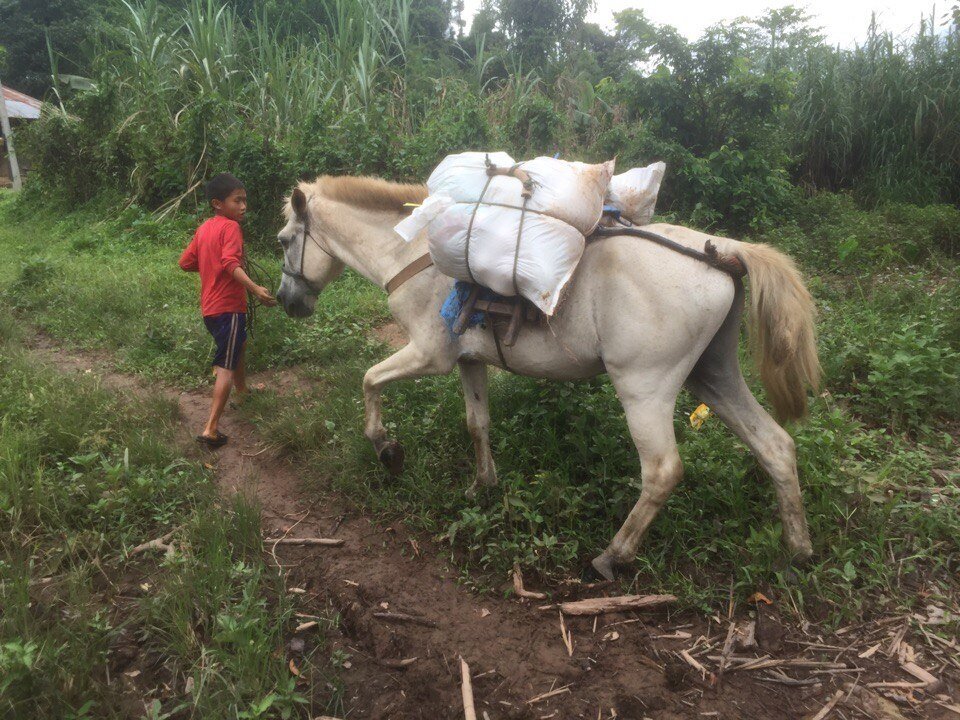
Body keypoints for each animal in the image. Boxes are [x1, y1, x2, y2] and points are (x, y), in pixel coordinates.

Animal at [274, 177, 820, 584]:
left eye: (283, 240)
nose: (286, 302)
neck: (414, 253)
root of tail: (722, 251)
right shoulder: (469, 362)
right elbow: (477, 424)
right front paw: (482, 486)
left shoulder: (429, 355)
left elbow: (369, 381)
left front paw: (386, 447)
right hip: (713, 376)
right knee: (775, 446)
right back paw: (796, 552)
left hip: (645, 389)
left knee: (663, 471)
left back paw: (612, 555)